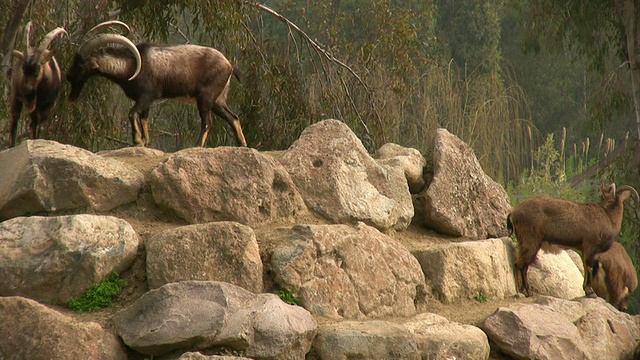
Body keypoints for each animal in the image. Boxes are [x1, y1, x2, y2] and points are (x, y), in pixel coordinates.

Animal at [65, 20, 245, 148]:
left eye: (80, 63)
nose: (68, 76)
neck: (130, 66)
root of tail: (229, 65)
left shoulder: (146, 96)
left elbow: (132, 113)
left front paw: (137, 141)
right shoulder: (147, 102)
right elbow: (144, 118)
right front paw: (144, 141)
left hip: (205, 96)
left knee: (207, 122)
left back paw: (197, 146)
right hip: (218, 99)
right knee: (233, 117)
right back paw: (242, 144)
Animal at [508, 183, 636, 298]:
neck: (609, 217)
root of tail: (513, 213)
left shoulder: (584, 249)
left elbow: (585, 267)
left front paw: (587, 291)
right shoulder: (590, 247)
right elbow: (589, 267)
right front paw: (591, 293)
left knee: (523, 265)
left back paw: (525, 291)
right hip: (530, 241)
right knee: (520, 264)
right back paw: (526, 292)